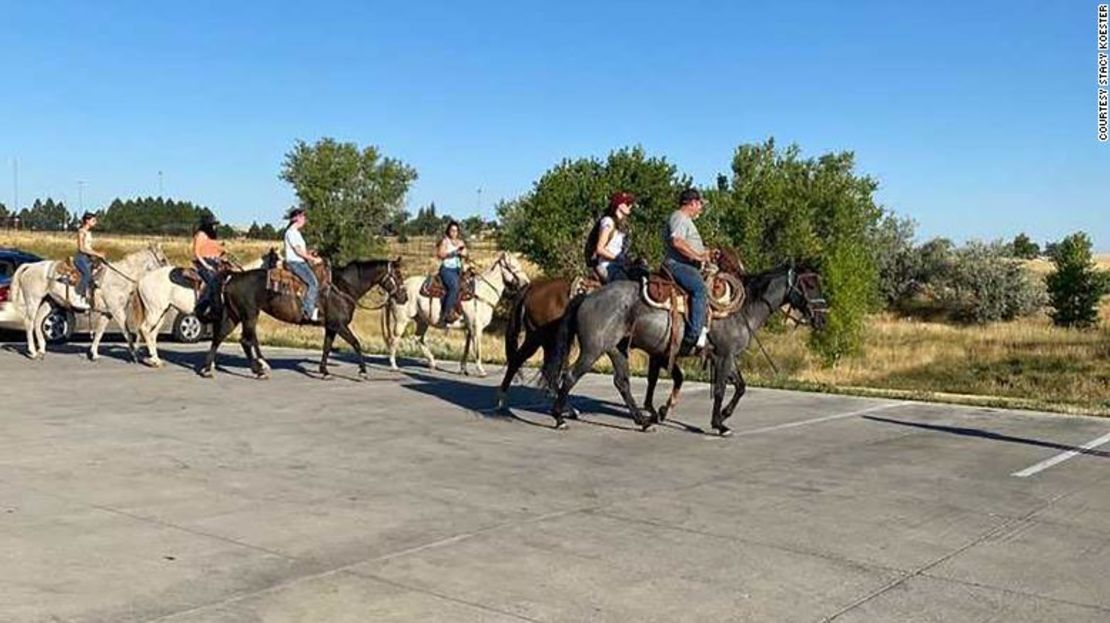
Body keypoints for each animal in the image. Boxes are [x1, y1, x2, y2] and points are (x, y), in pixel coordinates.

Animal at [7, 243, 167, 359]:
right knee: (29, 322)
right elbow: (126, 331)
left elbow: (99, 332)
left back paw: (42, 349)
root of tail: (30, 266)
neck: (118, 278)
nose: (170, 274)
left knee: (38, 321)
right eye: (163, 260)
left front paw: (94, 353)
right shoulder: (117, 311)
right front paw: (134, 354)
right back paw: (32, 352)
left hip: (49, 301)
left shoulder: (107, 313)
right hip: (33, 300)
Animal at [132, 255, 270, 366]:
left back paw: (155, 360)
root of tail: (142, 281)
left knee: (152, 333)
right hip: (155, 311)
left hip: (162, 312)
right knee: (145, 329)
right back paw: (152, 360)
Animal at [200, 254, 408, 379]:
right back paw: (258, 371)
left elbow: (326, 347)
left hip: (234, 315)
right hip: (249, 315)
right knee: (245, 340)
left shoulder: (331, 327)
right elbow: (356, 343)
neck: (343, 287)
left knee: (219, 337)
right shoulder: (340, 325)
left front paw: (324, 371)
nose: (404, 297)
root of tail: (233, 277)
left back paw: (207, 370)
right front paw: (363, 372)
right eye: (397, 275)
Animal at [386, 249, 532, 377]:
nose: (526, 282)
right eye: (512, 266)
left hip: (422, 321)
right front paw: (481, 370)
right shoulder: (476, 327)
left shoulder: (469, 329)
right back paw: (394, 365)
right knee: (395, 339)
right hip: (401, 320)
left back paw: (432, 363)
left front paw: (463, 369)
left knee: (418, 338)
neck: (483, 292)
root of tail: (398, 288)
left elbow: (467, 349)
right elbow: (477, 349)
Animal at [550, 260, 830, 433]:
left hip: (616, 349)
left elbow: (740, 386)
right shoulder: (724, 355)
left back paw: (642, 421)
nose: (822, 319)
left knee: (622, 383)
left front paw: (724, 415)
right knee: (570, 376)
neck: (742, 309)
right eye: (809, 284)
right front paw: (719, 424)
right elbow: (721, 389)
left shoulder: (726, 356)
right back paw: (560, 417)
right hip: (592, 349)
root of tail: (587, 296)